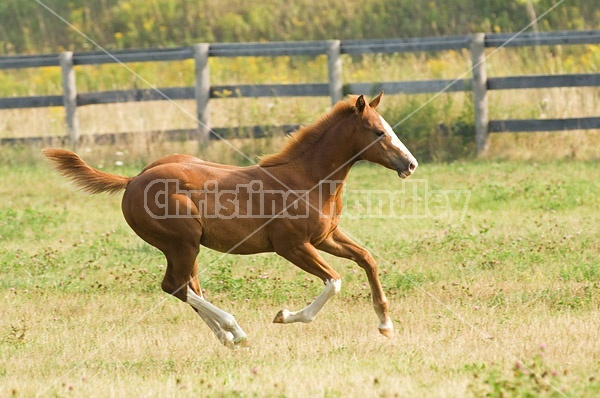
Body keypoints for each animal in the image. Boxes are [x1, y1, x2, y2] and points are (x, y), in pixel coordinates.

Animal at [43, 92, 418, 346]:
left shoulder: (326, 237)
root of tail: (133, 180)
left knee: (187, 285)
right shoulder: (292, 246)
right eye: (378, 132)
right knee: (175, 285)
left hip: (184, 246)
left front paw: (386, 325)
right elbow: (334, 281)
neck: (307, 178)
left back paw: (226, 336)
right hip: (182, 242)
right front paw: (285, 316)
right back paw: (234, 329)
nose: (410, 164)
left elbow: (367, 259)